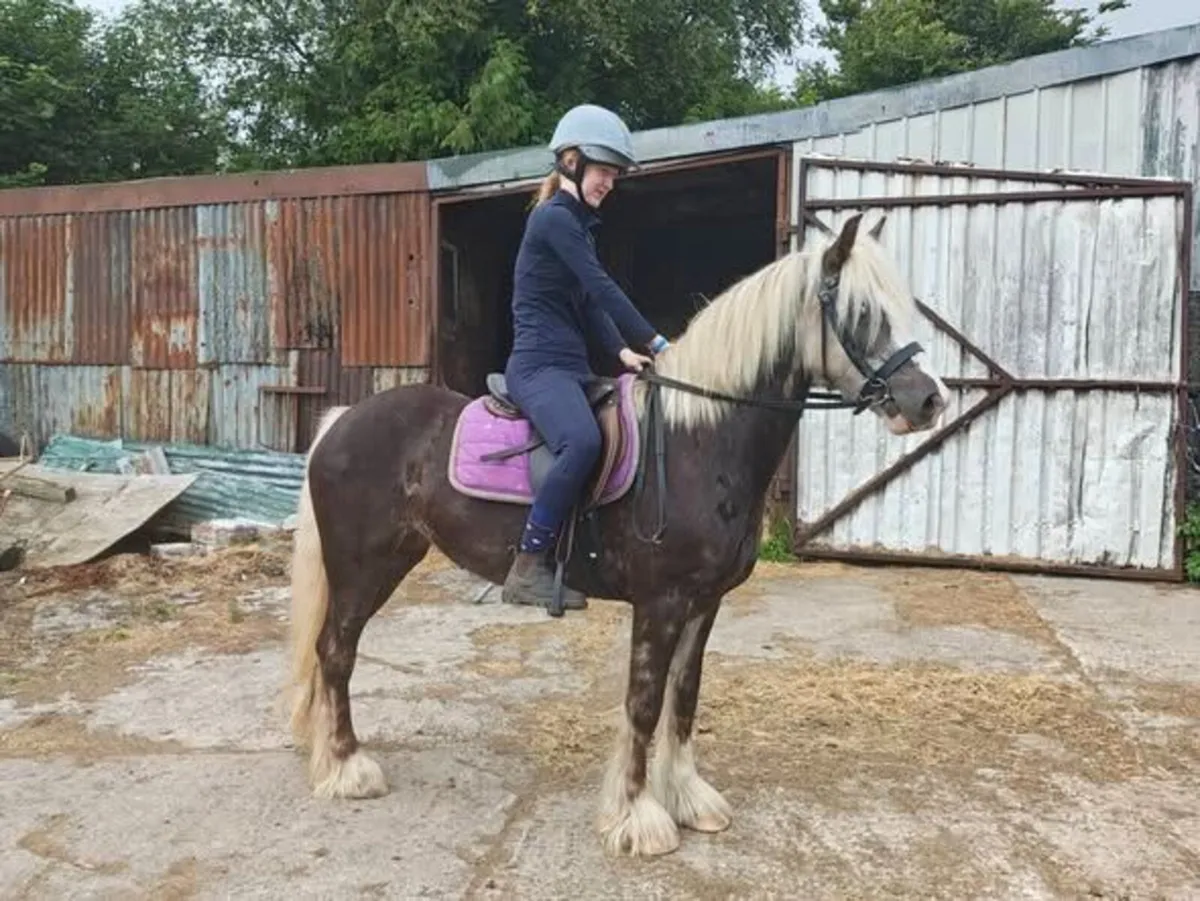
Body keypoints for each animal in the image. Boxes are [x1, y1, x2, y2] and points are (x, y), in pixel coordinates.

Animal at [285, 211, 950, 858]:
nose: (930, 400)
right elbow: (645, 702)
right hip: (362, 566)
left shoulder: (704, 603)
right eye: (863, 314)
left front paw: (688, 799)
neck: (697, 440)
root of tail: (343, 420)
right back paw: (348, 768)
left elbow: (684, 697)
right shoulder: (660, 602)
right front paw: (638, 817)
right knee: (336, 651)